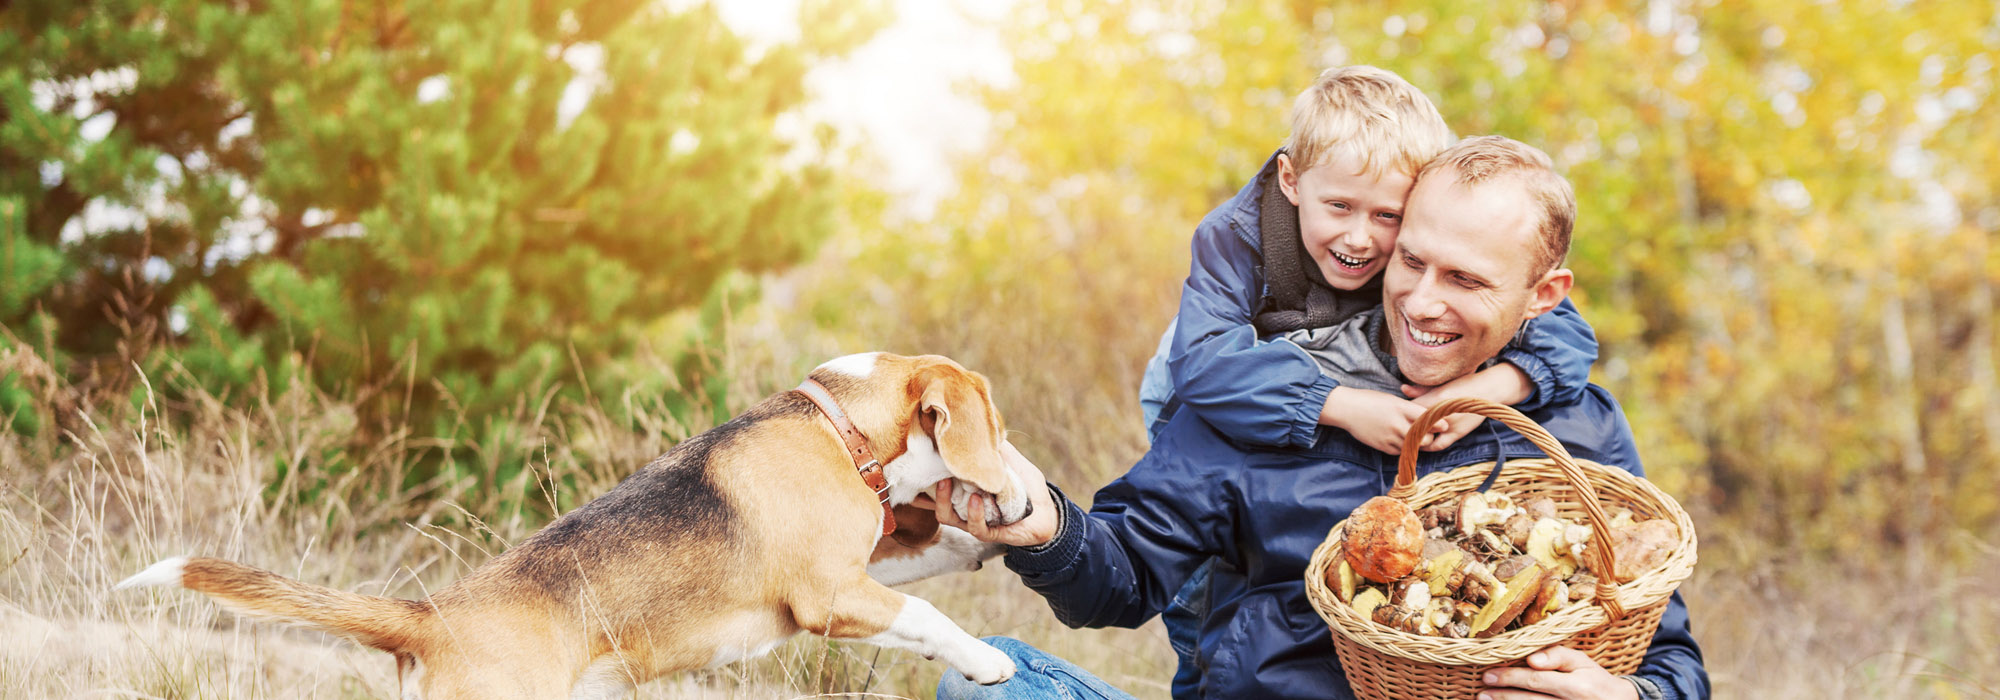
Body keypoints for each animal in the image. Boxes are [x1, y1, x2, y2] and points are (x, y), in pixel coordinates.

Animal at [115, 352, 1032, 700]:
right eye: (999, 426)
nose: (1027, 505)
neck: (840, 429)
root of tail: (428, 616)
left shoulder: (858, 571)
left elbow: (934, 563)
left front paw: (976, 544)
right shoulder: (830, 595)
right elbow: (930, 616)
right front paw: (987, 661)